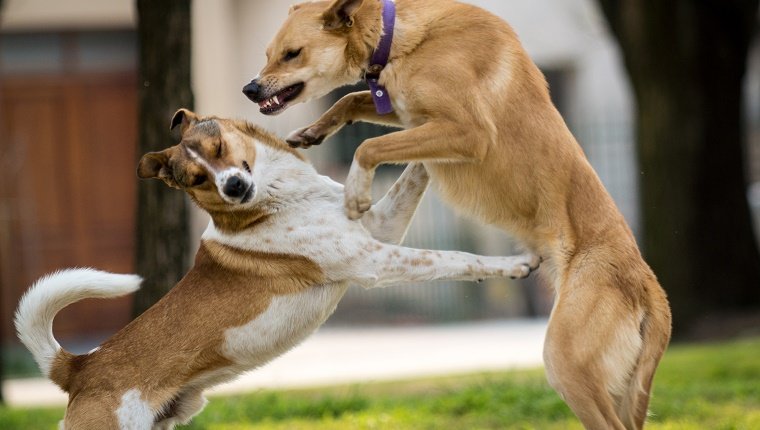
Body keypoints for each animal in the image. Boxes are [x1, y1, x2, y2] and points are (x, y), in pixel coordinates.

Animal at [14, 109, 536, 428]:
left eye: (218, 147)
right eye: (197, 179)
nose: (234, 186)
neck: (278, 200)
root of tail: (80, 366)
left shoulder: (381, 228)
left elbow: (416, 170)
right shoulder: (373, 259)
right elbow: (454, 259)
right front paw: (517, 263)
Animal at [242, 1, 672, 428]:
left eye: (292, 54)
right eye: (267, 53)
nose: (250, 89)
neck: (401, 40)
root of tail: (649, 285)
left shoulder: (467, 131)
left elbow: (368, 146)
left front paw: (356, 193)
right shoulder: (405, 109)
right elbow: (351, 101)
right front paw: (313, 132)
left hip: (566, 361)